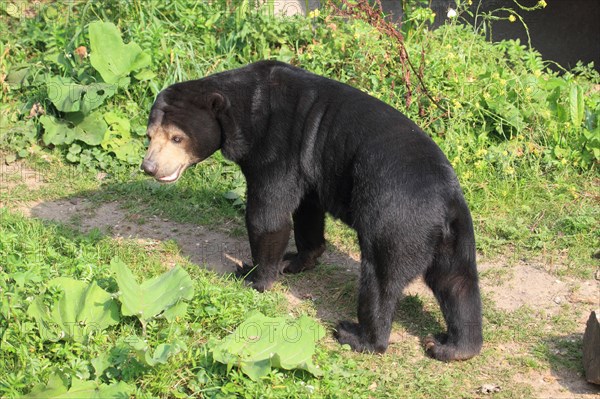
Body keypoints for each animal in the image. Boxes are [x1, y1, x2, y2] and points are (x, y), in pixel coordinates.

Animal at [143, 60, 486, 362]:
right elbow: (306, 209)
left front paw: (253, 276)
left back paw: (358, 336)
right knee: (458, 283)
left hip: (396, 221)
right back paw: (452, 347)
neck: (243, 109)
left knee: (379, 279)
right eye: (149, 136)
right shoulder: (309, 164)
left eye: (177, 137)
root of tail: (444, 201)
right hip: (455, 238)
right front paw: (295, 261)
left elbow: (268, 214)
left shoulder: (276, 145)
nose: (149, 167)